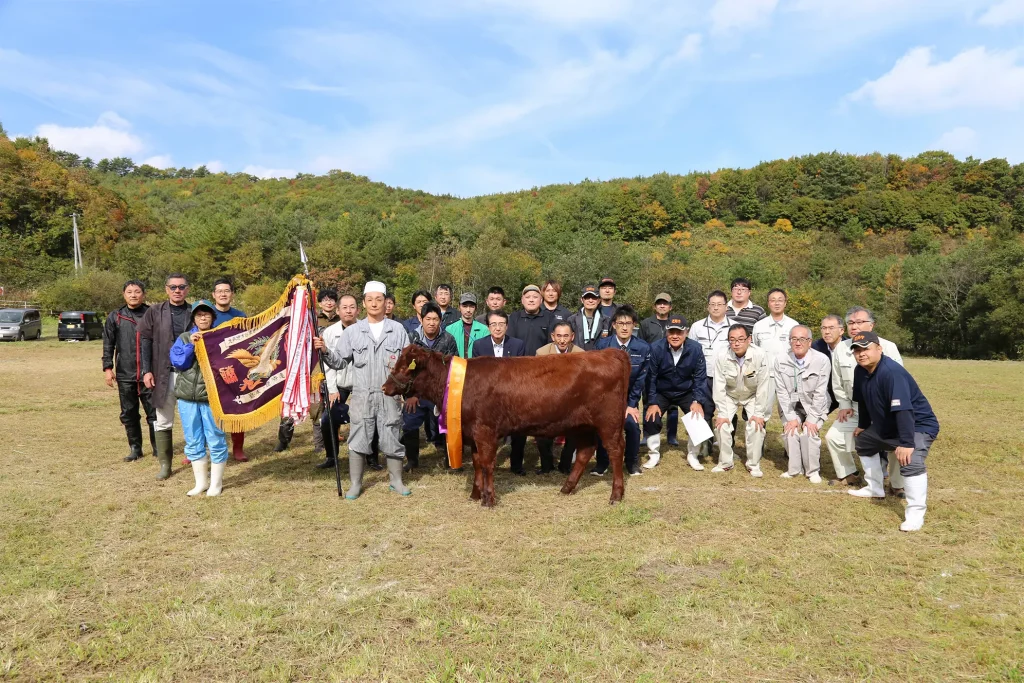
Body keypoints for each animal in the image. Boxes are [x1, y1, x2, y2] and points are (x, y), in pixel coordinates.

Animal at [385, 348, 630, 507]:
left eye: (405, 367)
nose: (385, 387)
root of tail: (609, 352)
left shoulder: (485, 431)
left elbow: (486, 464)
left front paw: (489, 498)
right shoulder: (473, 434)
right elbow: (477, 463)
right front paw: (476, 494)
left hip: (608, 422)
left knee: (616, 450)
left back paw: (616, 495)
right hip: (582, 425)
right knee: (585, 451)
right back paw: (566, 488)